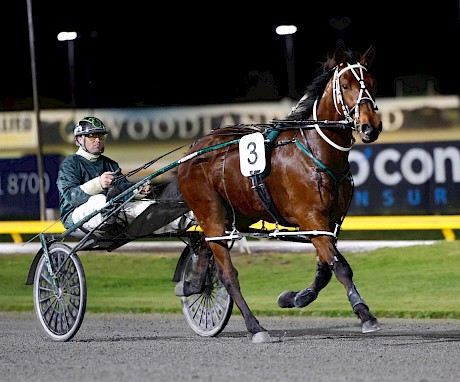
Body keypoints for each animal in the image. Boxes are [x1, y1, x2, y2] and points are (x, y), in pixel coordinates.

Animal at [174, 45, 382, 344]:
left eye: (373, 84)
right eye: (345, 85)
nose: (370, 127)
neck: (317, 152)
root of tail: (192, 151)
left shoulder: (328, 224)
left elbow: (325, 270)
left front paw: (295, 297)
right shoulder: (310, 218)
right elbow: (340, 266)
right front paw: (365, 314)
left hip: (238, 213)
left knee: (204, 246)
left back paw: (194, 285)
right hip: (210, 212)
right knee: (227, 273)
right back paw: (255, 326)